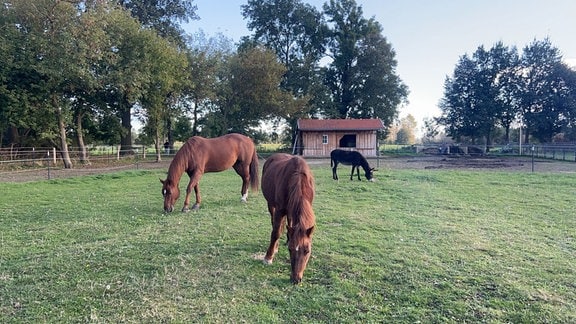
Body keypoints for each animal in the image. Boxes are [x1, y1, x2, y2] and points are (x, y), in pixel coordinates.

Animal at [260, 154, 316, 284]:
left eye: (307, 251)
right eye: (290, 250)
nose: (296, 279)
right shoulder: (280, 210)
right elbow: (275, 233)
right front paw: (268, 257)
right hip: (271, 205)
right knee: (275, 224)